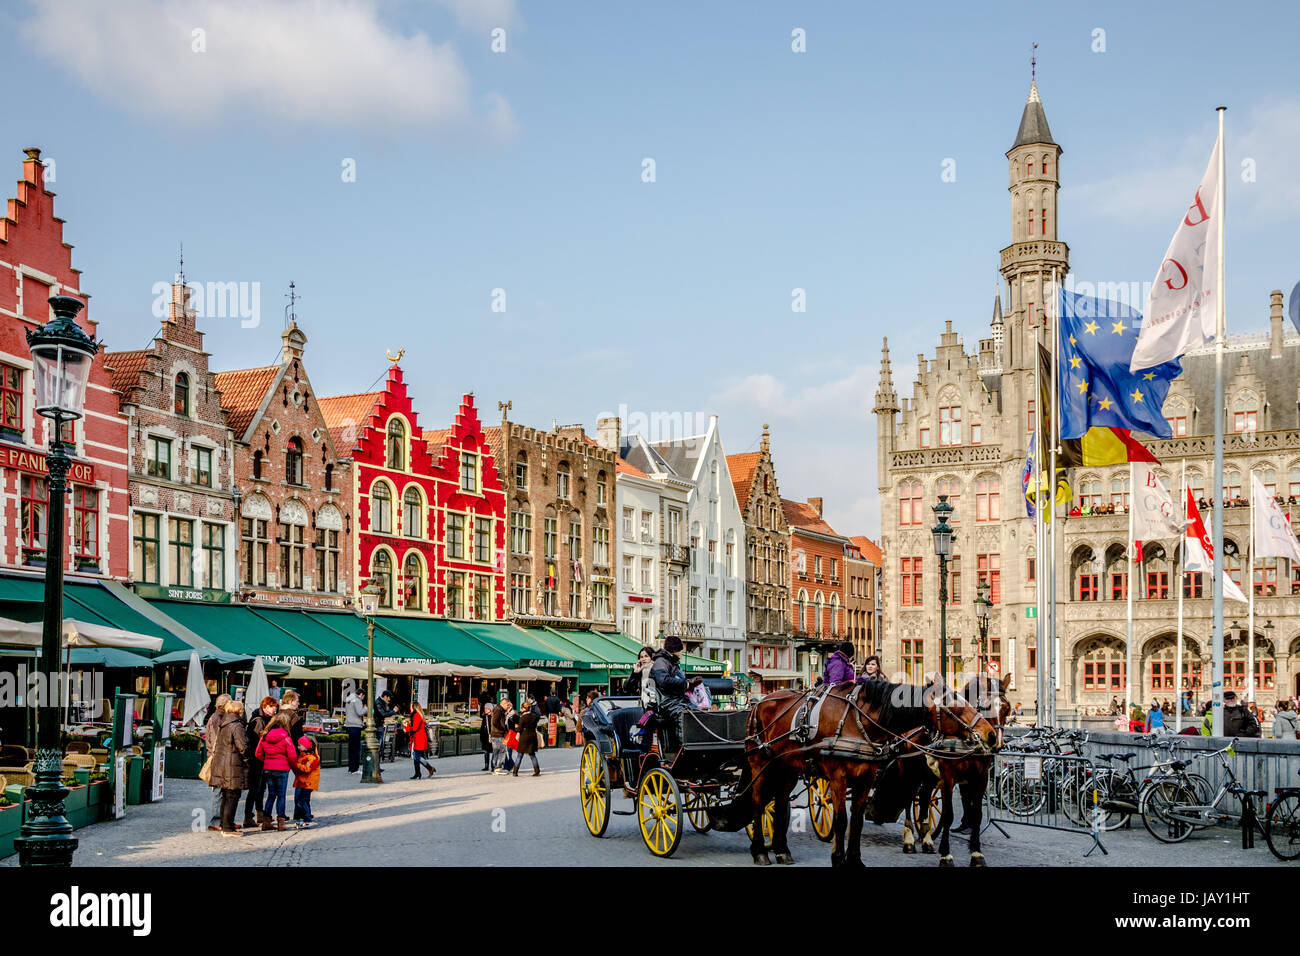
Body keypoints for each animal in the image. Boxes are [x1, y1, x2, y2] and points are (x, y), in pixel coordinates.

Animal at [904, 671, 1013, 868]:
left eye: (1006, 708)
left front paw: (976, 853)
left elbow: (977, 814)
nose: (996, 741)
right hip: (910, 770)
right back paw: (909, 840)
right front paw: (946, 856)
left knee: (924, 799)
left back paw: (927, 839)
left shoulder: (981, 776)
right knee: (908, 798)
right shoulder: (948, 776)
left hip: (928, 776)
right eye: (986, 707)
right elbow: (948, 815)